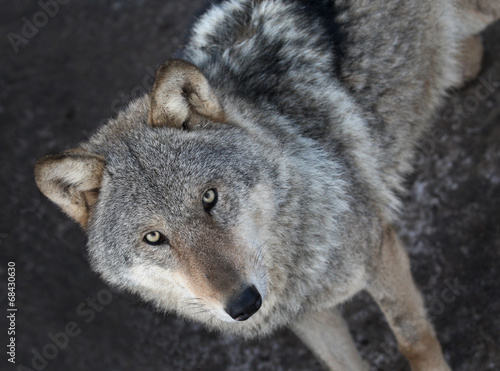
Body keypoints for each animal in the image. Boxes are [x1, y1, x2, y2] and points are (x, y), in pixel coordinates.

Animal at [32, 1, 500, 370]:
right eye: (153, 238)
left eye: (209, 198)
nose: (243, 305)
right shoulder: (304, 316)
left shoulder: (380, 252)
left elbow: (414, 341)